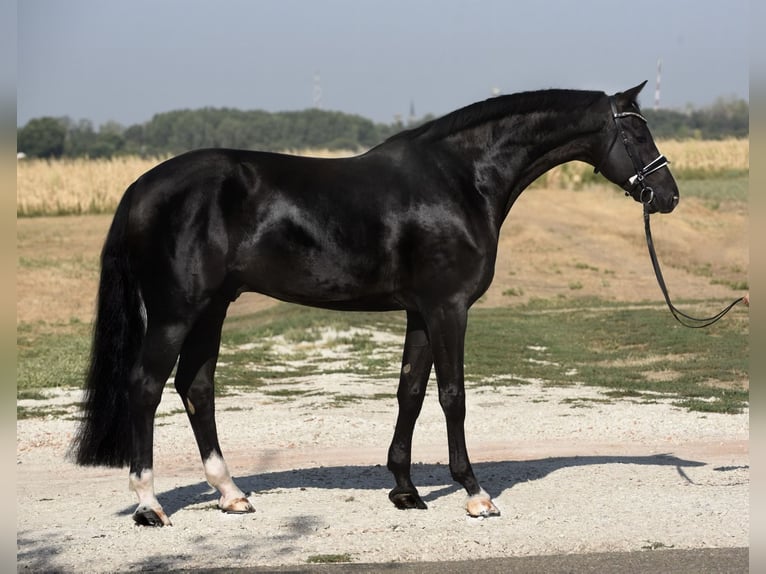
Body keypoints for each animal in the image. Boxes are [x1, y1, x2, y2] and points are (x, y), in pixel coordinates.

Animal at [72, 81, 680, 528]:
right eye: (638, 133)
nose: (669, 195)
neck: (461, 180)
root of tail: (139, 188)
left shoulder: (419, 311)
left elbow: (410, 391)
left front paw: (406, 491)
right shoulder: (448, 308)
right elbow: (453, 395)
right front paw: (475, 494)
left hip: (212, 309)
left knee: (196, 387)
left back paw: (231, 494)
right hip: (176, 312)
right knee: (146, 388)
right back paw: (149, 505)